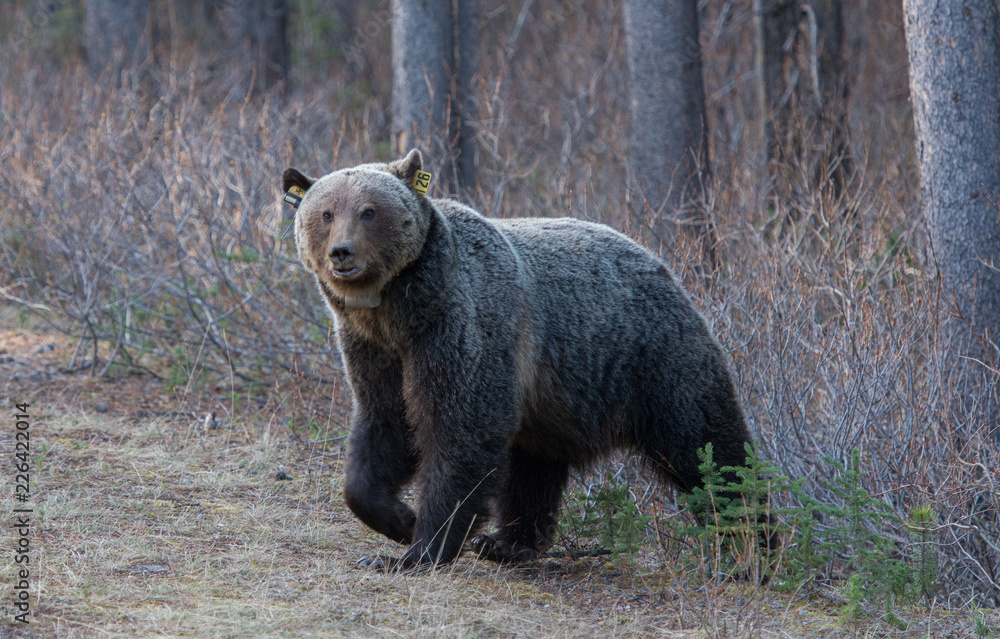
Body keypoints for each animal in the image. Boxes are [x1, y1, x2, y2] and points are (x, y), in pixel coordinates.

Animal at [282, 149, 754, 570]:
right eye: (325, 213)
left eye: (369, 211)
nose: (342, 252)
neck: (397, 313)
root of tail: (661, 262)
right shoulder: (376, 351)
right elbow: (384, 427)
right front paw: (398, 521)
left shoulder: (459, 328)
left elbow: (462, 427)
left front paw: (421, 548)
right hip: (556, 406)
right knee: (533, 470)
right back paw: (507, 543)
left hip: (656, 361)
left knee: (709, 448)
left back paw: (748, 547)